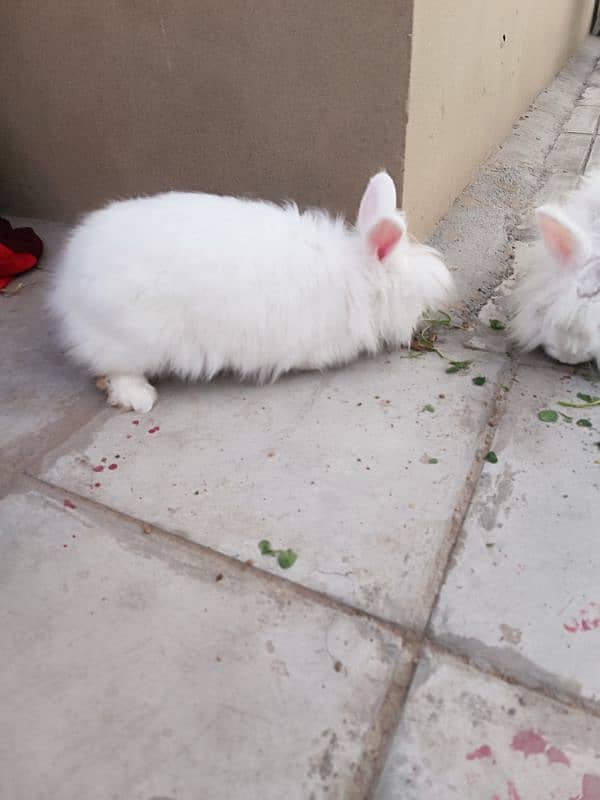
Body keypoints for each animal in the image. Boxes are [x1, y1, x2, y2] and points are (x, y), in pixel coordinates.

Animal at [51, 170, 452, 412]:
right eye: (413, 300)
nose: (417, 329)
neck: (355, 277)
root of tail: (68, 278)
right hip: (132, 341)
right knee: (113, 370)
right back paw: (140, 398)